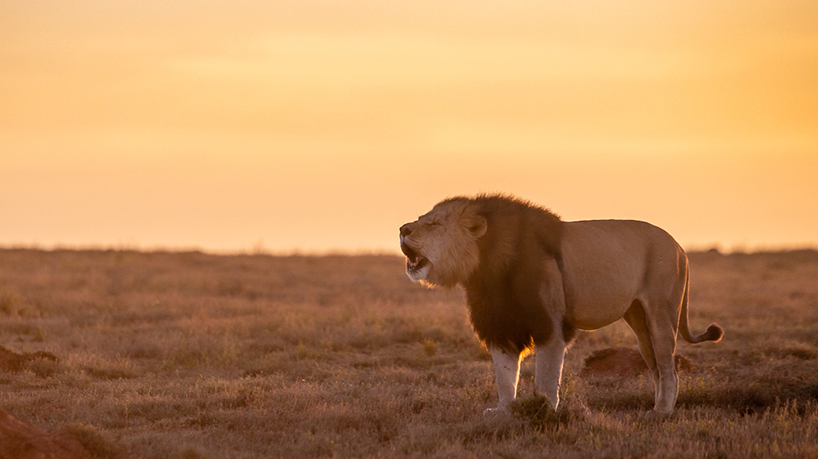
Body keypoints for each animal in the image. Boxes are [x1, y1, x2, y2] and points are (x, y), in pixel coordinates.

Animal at [399, 194, 723, 417]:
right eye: (421, 218)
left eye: (434, 224)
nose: (402, 229)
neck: (486, 269)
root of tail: (680, 247)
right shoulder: (499, 326)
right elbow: (505, 377)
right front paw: (504, 412)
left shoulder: (550, 325)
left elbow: (545, 377)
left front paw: (543, 410)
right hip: (639, 321)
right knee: (655, 367)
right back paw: (655, 408)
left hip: (660, 312)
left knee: (669, 368)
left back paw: (663, 412)